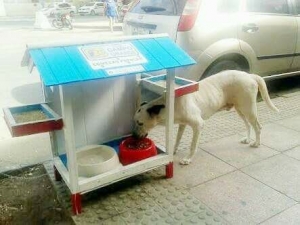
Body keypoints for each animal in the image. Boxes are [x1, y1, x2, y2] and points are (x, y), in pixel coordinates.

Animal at [134, 69, 278, 164]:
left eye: (140, 123)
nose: (134, 137)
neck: (169, 104)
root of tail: (250, 75)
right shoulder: (182, 124)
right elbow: (177, 140)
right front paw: (173, 151)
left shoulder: (198, 125)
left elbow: (193, 145)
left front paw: (188, 159)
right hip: (240, 110)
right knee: (248, 125)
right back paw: (247, 139)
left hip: (248, 110)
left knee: (258, 127)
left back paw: (256, 143)